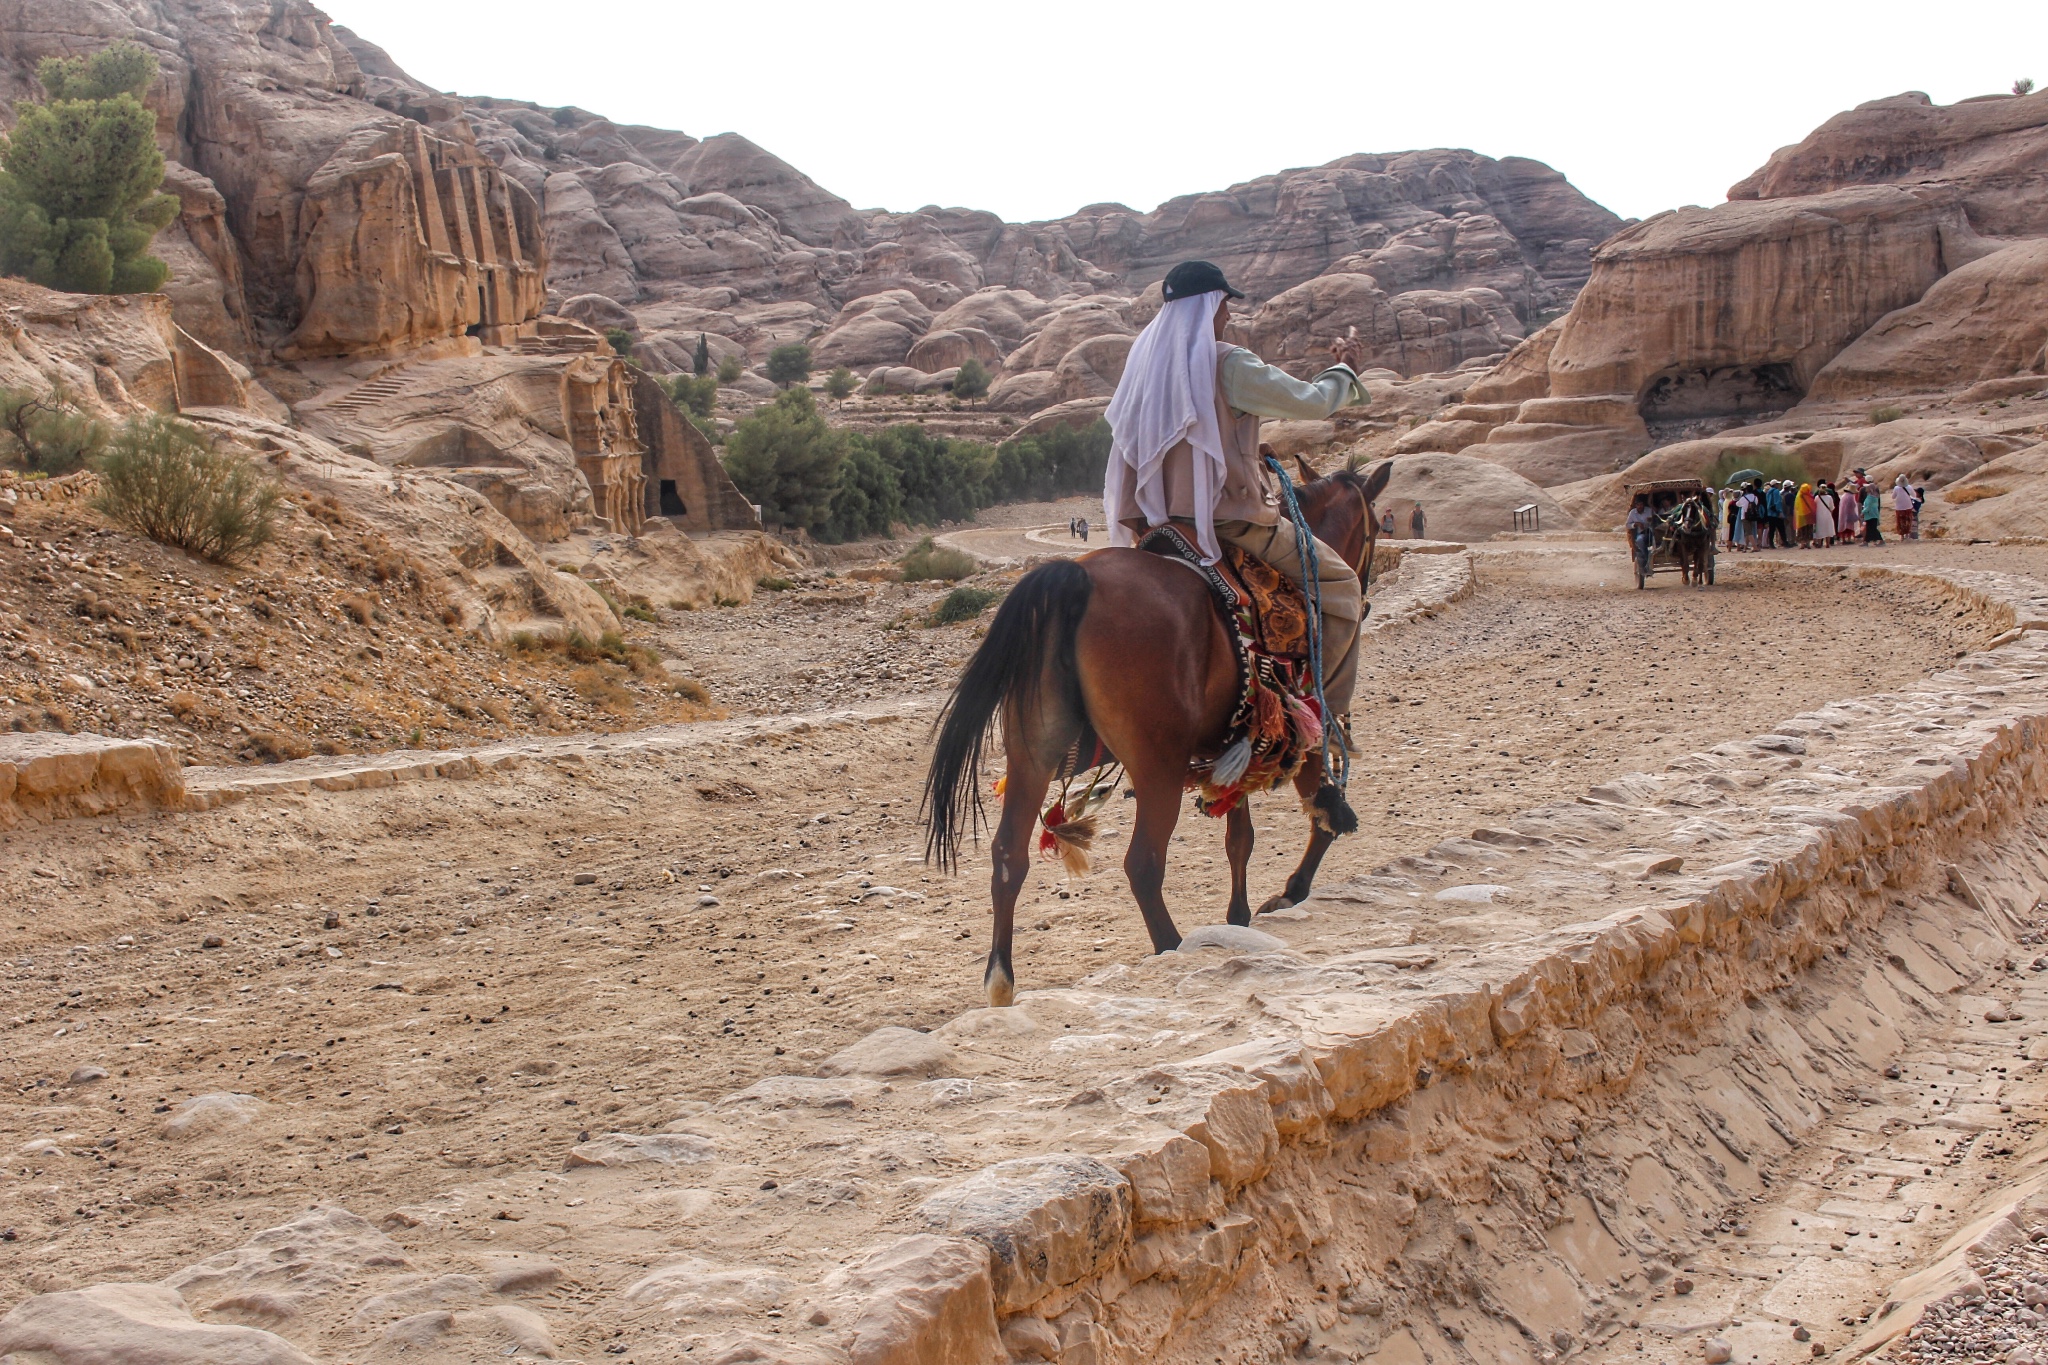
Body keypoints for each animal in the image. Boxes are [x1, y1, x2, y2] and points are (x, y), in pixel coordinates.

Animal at [925, 458, 1392, 1002]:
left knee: (1007, 858)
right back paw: (1171, 947)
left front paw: (1239, 915)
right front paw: (1290, 892)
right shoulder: (1308, 722)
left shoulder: (1241, 743)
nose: (1364, 602)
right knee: (1143, 864)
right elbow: (1318, 814)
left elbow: (1240, 837)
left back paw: (1000, 981)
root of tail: (1076, 577)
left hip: (1032, 757)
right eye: (1376, 528)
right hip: (1157, 769)